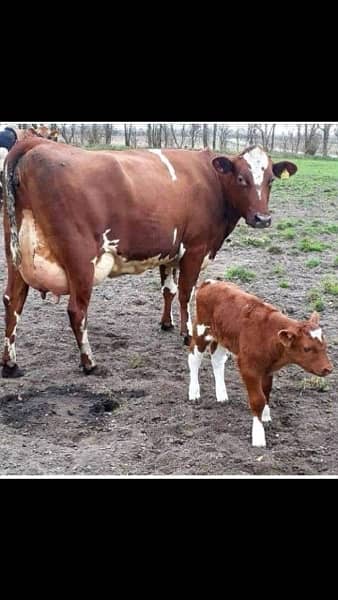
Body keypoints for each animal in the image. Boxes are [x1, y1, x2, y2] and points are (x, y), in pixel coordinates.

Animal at [0, 127, 296, 378]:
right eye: (241, 178)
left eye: (270, 180)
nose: (262, 219)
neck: (212, 181)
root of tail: (36, 143)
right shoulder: (195, 249)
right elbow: (186, 292)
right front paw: (187, 333)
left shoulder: (170, 250)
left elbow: (169, 290)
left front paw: (167, 323)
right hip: (80, 259)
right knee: (77, 310)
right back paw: (89, 362)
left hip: (15, 257)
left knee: (12, 301)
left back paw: (10, 363)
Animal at [189, 280, 334, 446]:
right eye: (307, 348)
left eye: (325, 345)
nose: (328, 369)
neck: (268, 335)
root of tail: (210, 282)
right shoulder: (248, 368)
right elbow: (258, 399)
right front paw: (258, 436)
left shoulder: (268, 369)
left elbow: (266, 392)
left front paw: (266, 416)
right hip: (202, 331)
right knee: (194, 358)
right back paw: (194, 392)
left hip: (222, 336)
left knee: (217, 360)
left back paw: (222, 395)